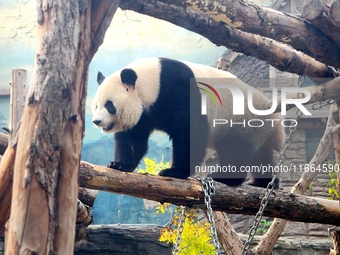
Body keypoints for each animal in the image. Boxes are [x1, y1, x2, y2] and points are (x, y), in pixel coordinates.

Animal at [91, 58, 286, 189]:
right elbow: (132, 139)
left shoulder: (179, 91)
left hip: (241, 121)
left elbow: (189, 134)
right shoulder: (143, 114)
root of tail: (273, 116)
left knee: (236, 149)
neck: (151, 83)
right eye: (96, 105)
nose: (96, 121)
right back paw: (264, 182)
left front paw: (174, 171)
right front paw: (120, 165)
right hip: (258, 129)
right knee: (261, 155)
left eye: (109, 105)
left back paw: (224, 177)